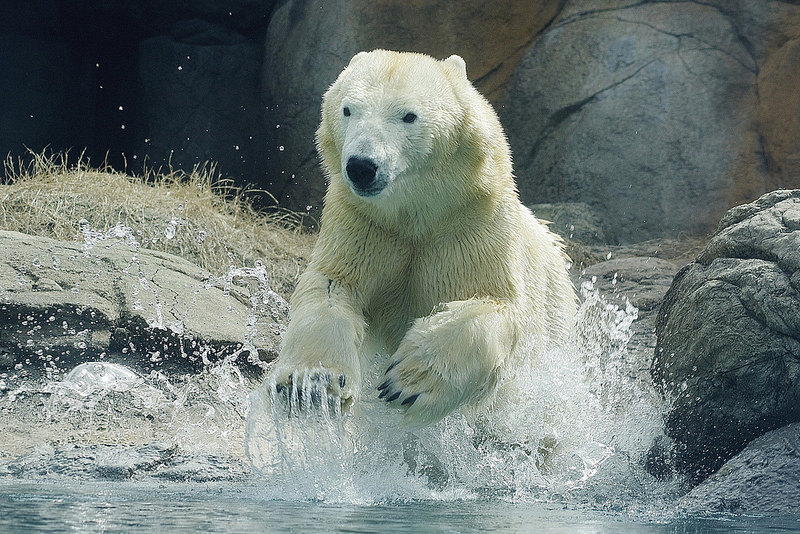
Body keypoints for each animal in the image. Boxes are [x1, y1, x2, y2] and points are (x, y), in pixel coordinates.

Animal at [257, 49, 576, 427]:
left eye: (409, 116)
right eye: (348, 109)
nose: (362, 166)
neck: (418, 213)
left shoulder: (475, 224)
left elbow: (496, 304)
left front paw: (409, 381)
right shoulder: (364, 224)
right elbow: (333, 285)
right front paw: (313, 380)